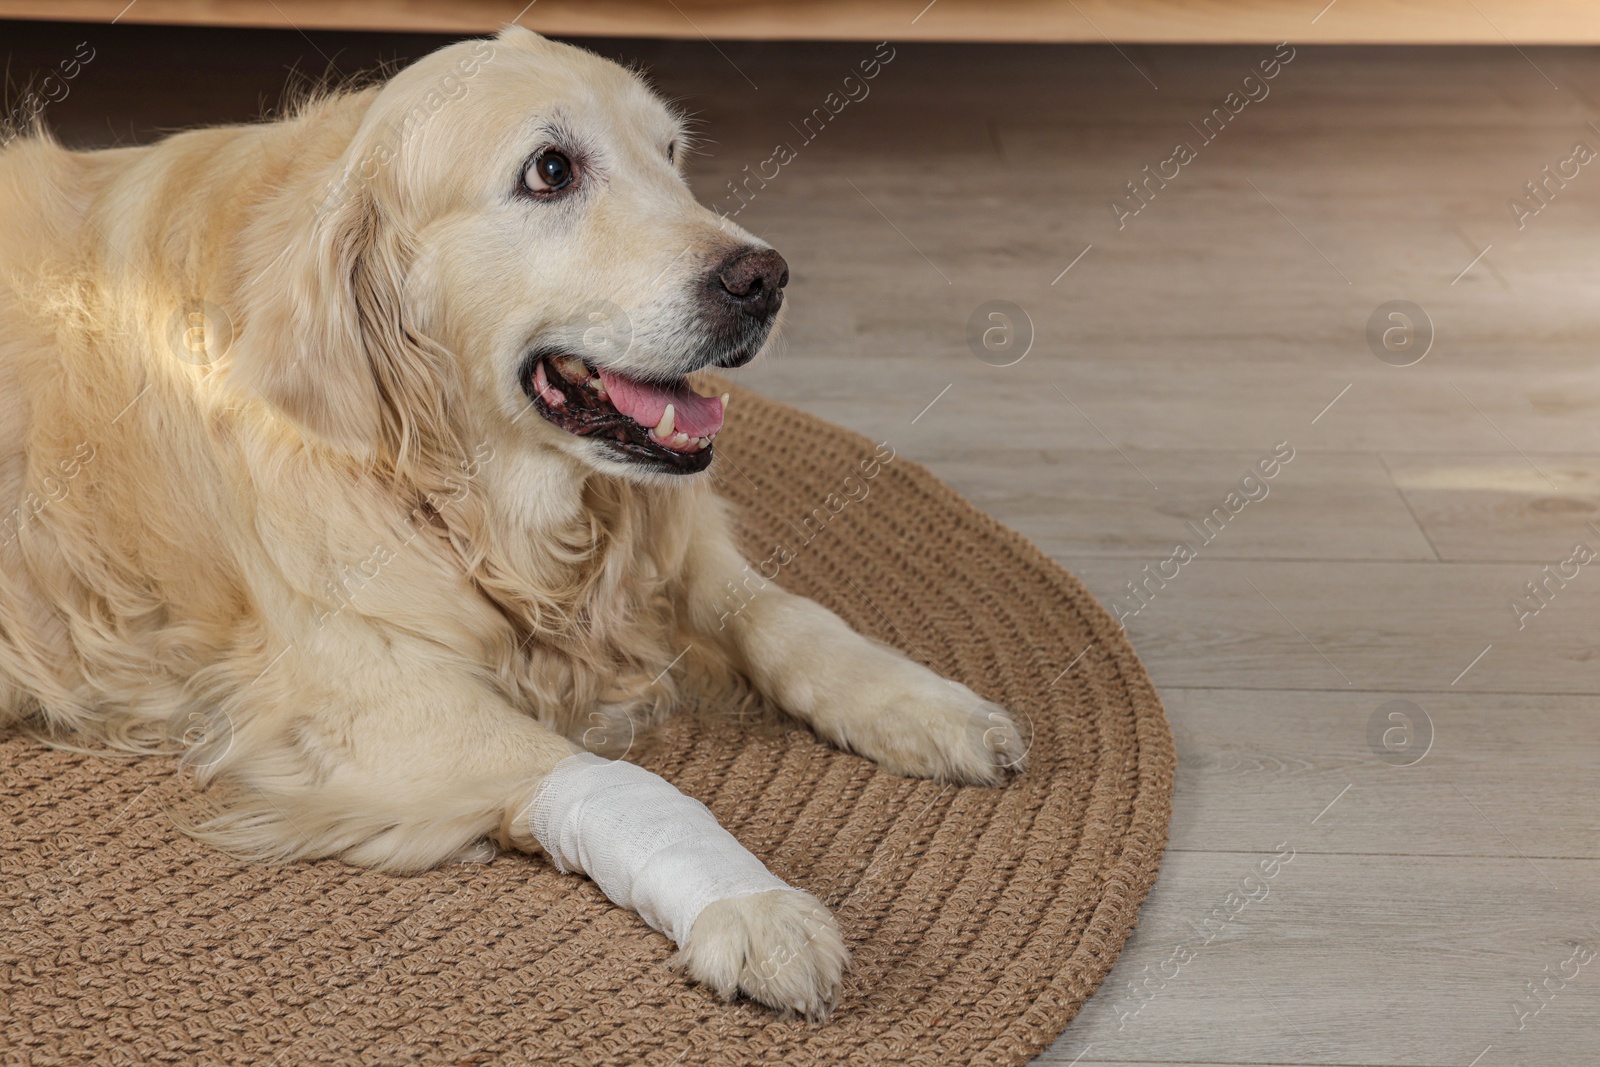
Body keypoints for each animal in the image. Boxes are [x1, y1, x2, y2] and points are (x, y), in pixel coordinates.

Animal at [0, 27, 1024, 1017]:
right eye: (551, 170)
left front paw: (929, 705)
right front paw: (751, 903)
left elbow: (789, 617)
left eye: (671, 153)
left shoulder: (671, 549)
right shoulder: (364, 695)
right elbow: (608, 777)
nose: (765, 278)